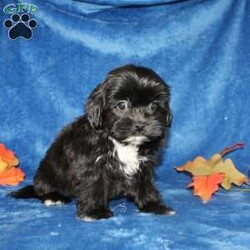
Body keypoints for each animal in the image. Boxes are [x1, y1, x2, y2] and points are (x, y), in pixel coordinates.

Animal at [10, 64, 175, 221]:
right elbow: (93, 186)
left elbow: (145, 184)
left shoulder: (143, 164)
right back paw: (54, 197)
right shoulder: (91, 164)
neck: (119, 142)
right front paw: (95, 212)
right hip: (48, 174)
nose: (140, 125)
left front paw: (153, 205)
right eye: (122, 105)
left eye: (154, 106)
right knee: (44, 189)